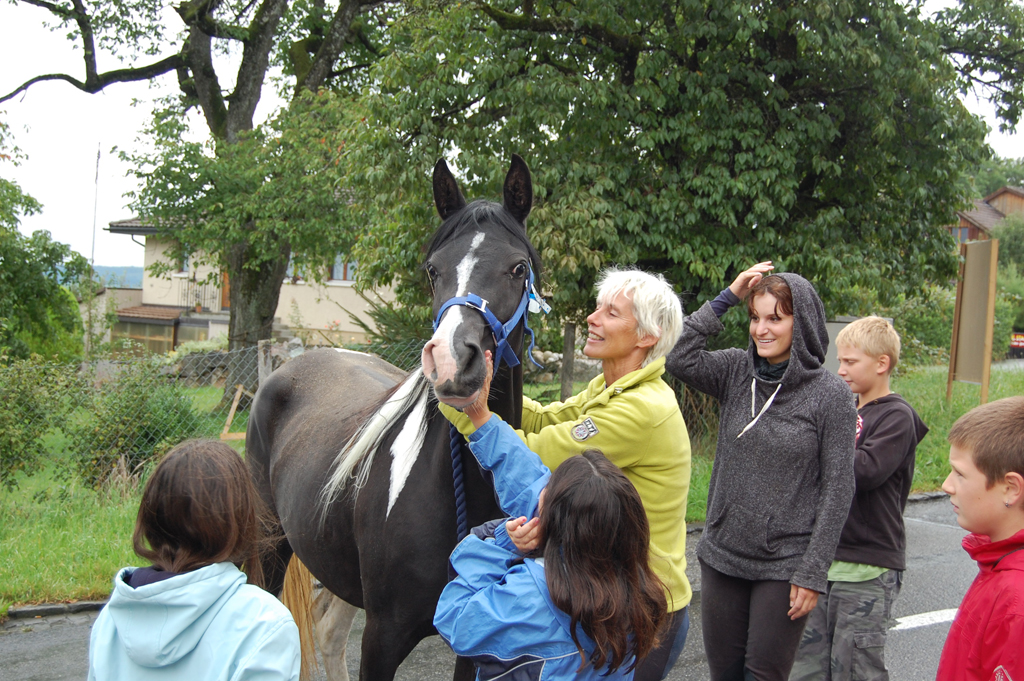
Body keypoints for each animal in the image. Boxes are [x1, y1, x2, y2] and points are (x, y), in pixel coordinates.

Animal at [247, 154, 543, 681]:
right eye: (432, 270)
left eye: (518, 267)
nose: (451, 361)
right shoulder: (383, 637)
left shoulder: (473, 642)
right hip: (272, 547)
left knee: (327, 633)